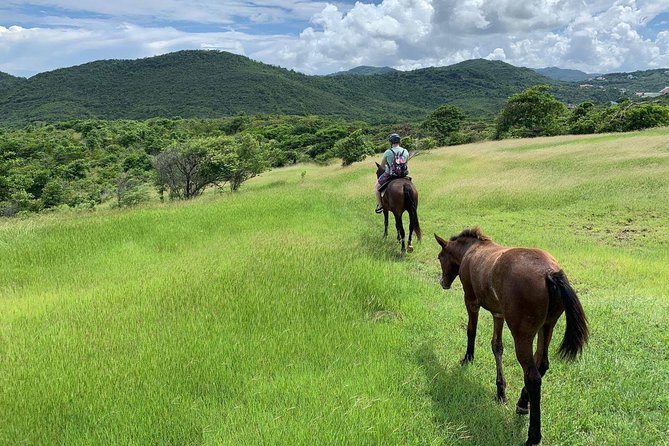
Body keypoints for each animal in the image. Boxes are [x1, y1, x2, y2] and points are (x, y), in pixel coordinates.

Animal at [434, 228, 584, 444]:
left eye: (440, 257)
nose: (443, 283)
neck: (472, 250)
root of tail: (550, 273)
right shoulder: (498, 314)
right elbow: (496, 345)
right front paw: (500, 391)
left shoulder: (471, 301)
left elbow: (472, 330)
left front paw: (468, 358)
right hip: (547, 326)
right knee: (542, 363)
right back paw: (522, 402)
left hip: (522, 334)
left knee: (533, 376)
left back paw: (533, 435)